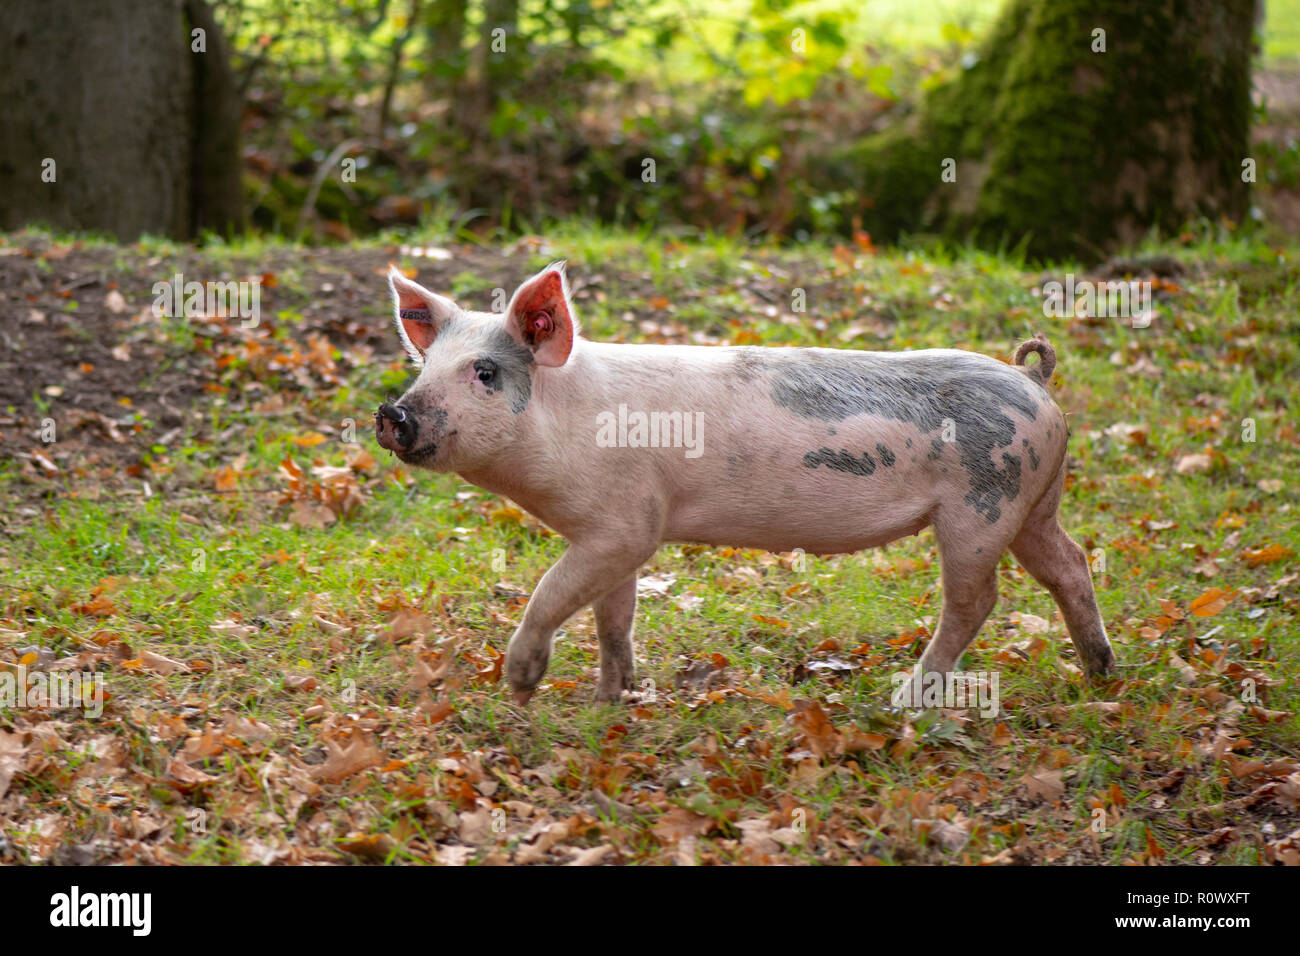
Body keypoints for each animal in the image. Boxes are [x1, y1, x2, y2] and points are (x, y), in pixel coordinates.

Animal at [377, 265, 1118, 707]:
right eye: (425, 365)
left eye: (484, 373)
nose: (393, 413)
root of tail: (1033, 380)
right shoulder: (615, 532)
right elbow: (614, 617)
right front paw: (613, 701)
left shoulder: (627, 525)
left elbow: (552, 592)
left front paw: (522, 687)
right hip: (1034, 503)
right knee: (1070, 564)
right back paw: (1102, 675)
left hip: (981, 506)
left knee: (977, 599)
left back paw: (903, 702)